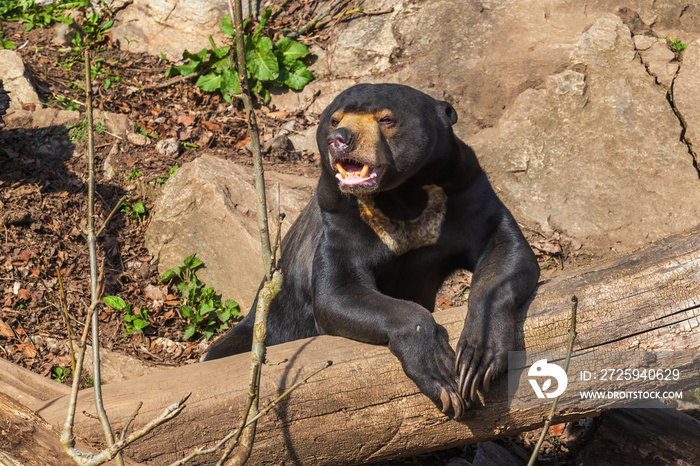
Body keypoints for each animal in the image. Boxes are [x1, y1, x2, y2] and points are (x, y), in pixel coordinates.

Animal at [205, 83, 540, 418]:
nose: (339, 139)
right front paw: (441, 375)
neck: (403, 195)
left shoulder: (465, 191)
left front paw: (476, 361)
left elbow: (505, 248)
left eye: (386, 119)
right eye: (334, 119)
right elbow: (337, 292)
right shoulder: (340, 219)